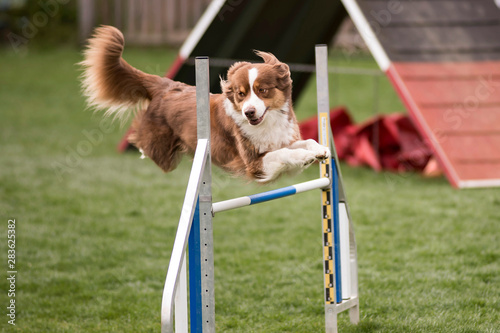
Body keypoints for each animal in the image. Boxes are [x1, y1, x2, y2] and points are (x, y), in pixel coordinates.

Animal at [80, 25, 330, 182]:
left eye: (262, 90)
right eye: (241, 94)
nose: (249, 113)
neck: (267, 122)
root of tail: (167, 85)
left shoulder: (280, 140)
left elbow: (305, 141)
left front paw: (320, 150)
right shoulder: (254, 164)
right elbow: (284, 154)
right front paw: (305, 157)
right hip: (163, 151)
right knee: (147, 144)